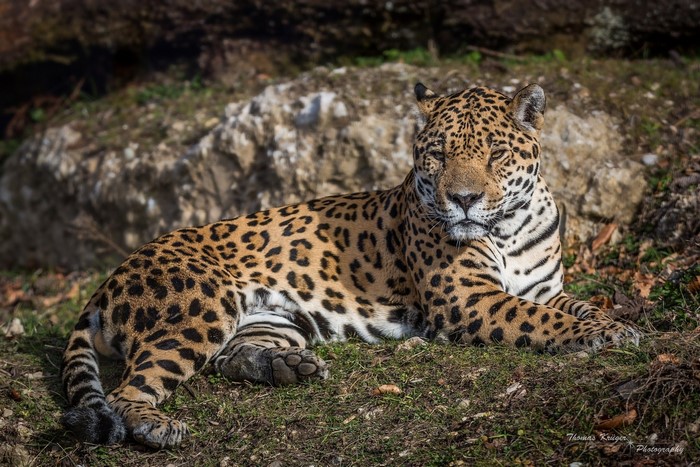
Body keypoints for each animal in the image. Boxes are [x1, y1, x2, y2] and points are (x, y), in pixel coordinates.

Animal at [60, 82, 640, 449]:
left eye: (497, 154)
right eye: (437, 155)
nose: (464, 200)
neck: (509, 225)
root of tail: (108, 280)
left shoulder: (545, 288)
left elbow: (576, 307)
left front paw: (617, 324)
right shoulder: (467, 299)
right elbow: (542, 321)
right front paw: (604, 336)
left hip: (273, 317)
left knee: (230, 355)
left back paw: (289, 368)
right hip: (202, 305)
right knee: (127, 390)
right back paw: (154, 427)